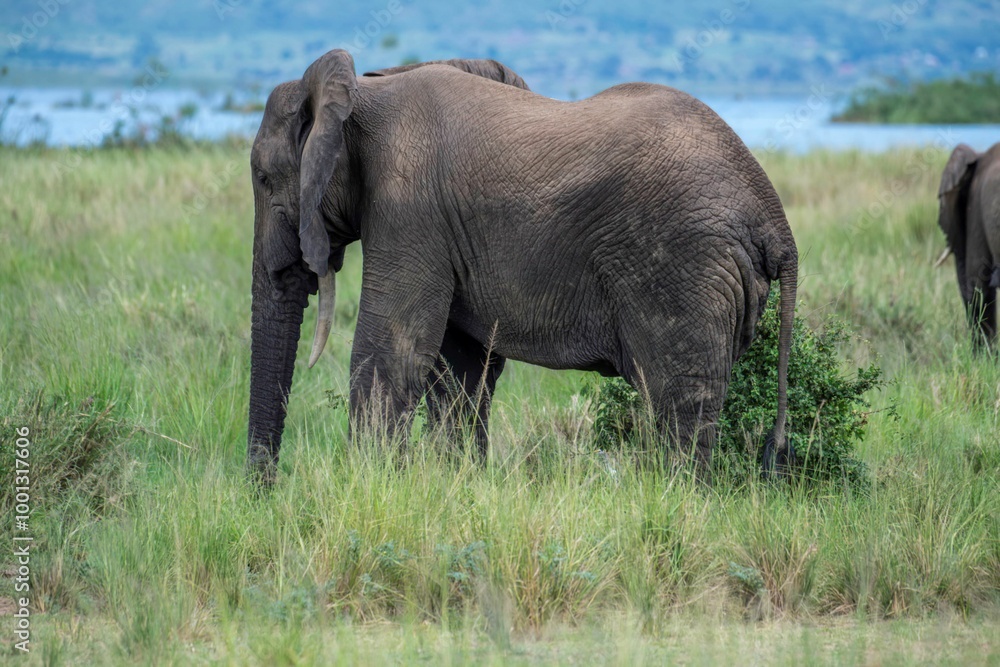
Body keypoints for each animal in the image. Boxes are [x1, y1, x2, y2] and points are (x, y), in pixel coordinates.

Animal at [245, 49, 799, 486]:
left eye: (263, 177)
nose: (264, 491)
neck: (363, 92)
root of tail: (774, 217)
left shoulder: (409, 211)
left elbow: (391, 354)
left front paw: (372, 493)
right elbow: (462, 370)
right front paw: (456, 486)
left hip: (684, 266)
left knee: (677, 402)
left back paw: (676, 501)